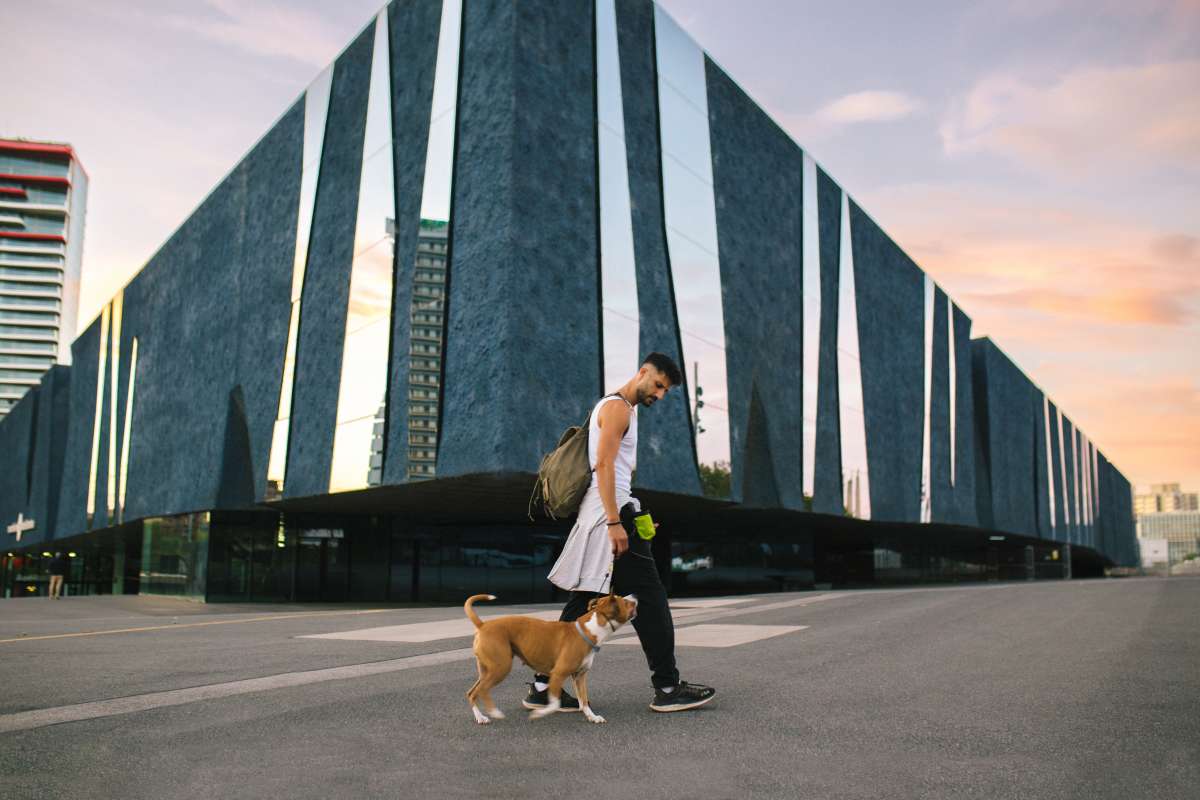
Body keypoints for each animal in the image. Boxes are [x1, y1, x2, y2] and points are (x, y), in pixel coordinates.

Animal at [463, 592, 643, 724]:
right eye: (625, 602)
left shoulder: (580, 676)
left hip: (487, 670)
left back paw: (480, 717)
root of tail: (483, 625)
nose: (635, 595)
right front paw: (539, 713)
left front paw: (592, 716)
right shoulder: (558, 674)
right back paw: (494, 713)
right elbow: (555, 702)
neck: (591, 629)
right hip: (501, 668)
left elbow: (583, 699)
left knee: (472, 693)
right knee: (482, 690)